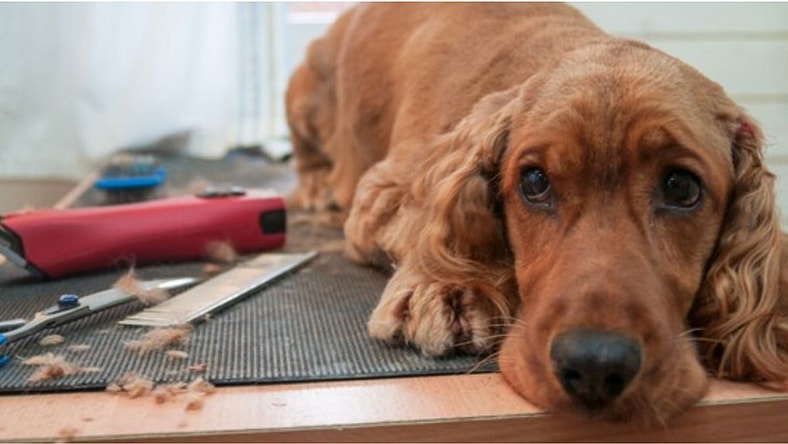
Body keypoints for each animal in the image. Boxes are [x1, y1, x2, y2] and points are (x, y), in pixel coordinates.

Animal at [285, 3, 788, 423]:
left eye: (682, 187)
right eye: (534, 182)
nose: (594, 366)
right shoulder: (380, 192)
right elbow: (416, 223)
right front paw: (450, 285)